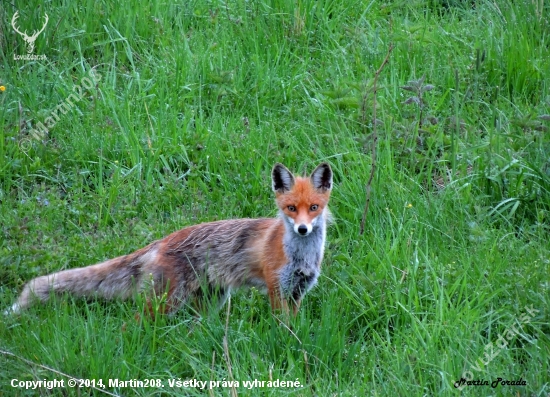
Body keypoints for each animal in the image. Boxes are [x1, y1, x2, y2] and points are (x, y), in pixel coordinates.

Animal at [8, 162, 334, 316]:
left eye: (313, 208)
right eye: (290, 208)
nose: (302, 229)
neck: (301, 255)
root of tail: (162, 240)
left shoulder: (298, 291)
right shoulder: (276, 289)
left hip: (212, 300)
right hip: (166, 301)